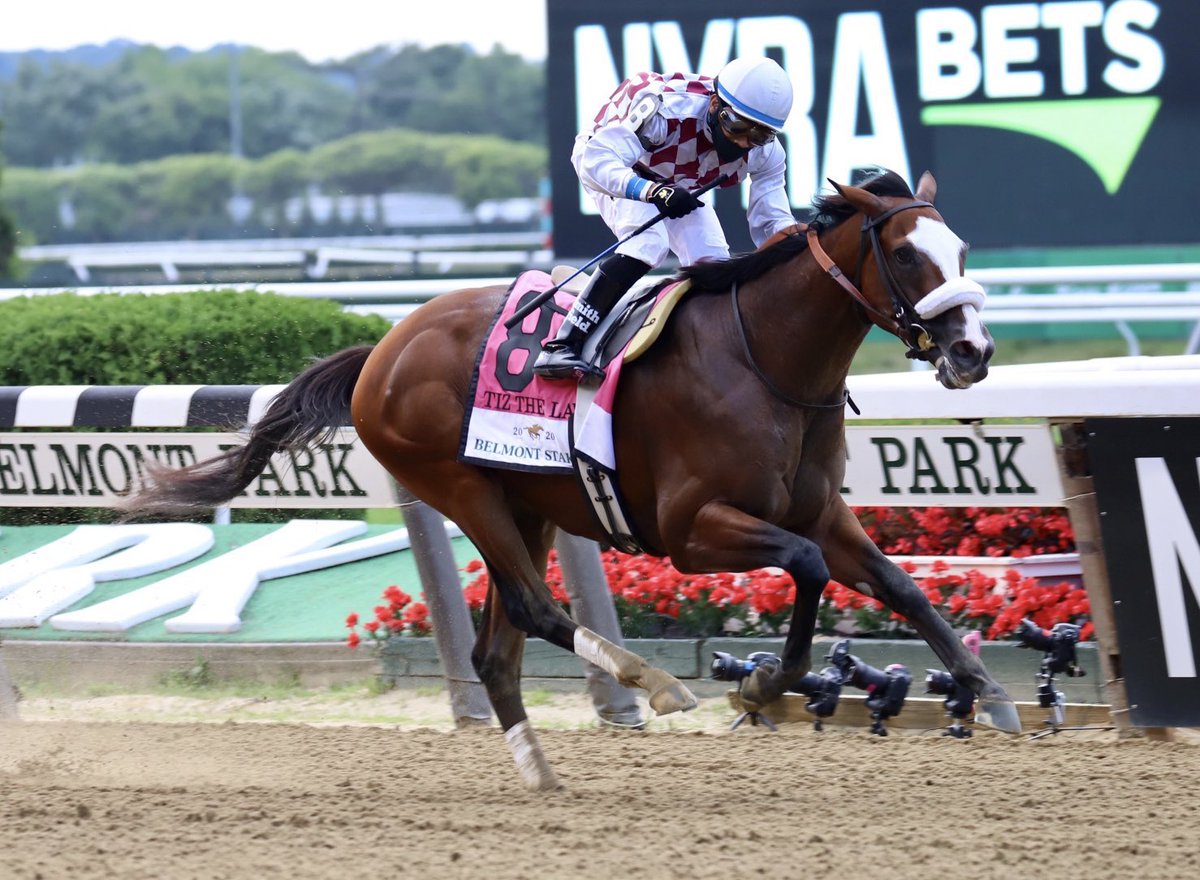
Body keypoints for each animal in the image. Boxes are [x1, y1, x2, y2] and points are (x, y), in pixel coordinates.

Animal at [121, 168, 1022, 787]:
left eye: (961, 251)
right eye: (904, 253)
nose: (972, 352)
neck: (764, 359)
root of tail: (382, 347)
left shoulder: (824, 514)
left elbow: (899, 586)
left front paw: (986, 690)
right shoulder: (693, 531)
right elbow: (800, 569)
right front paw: (765, 682)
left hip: (527, 506)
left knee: (496, 650)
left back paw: (541, 770)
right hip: (462, 489)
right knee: (533, 608)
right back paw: (652, 683)